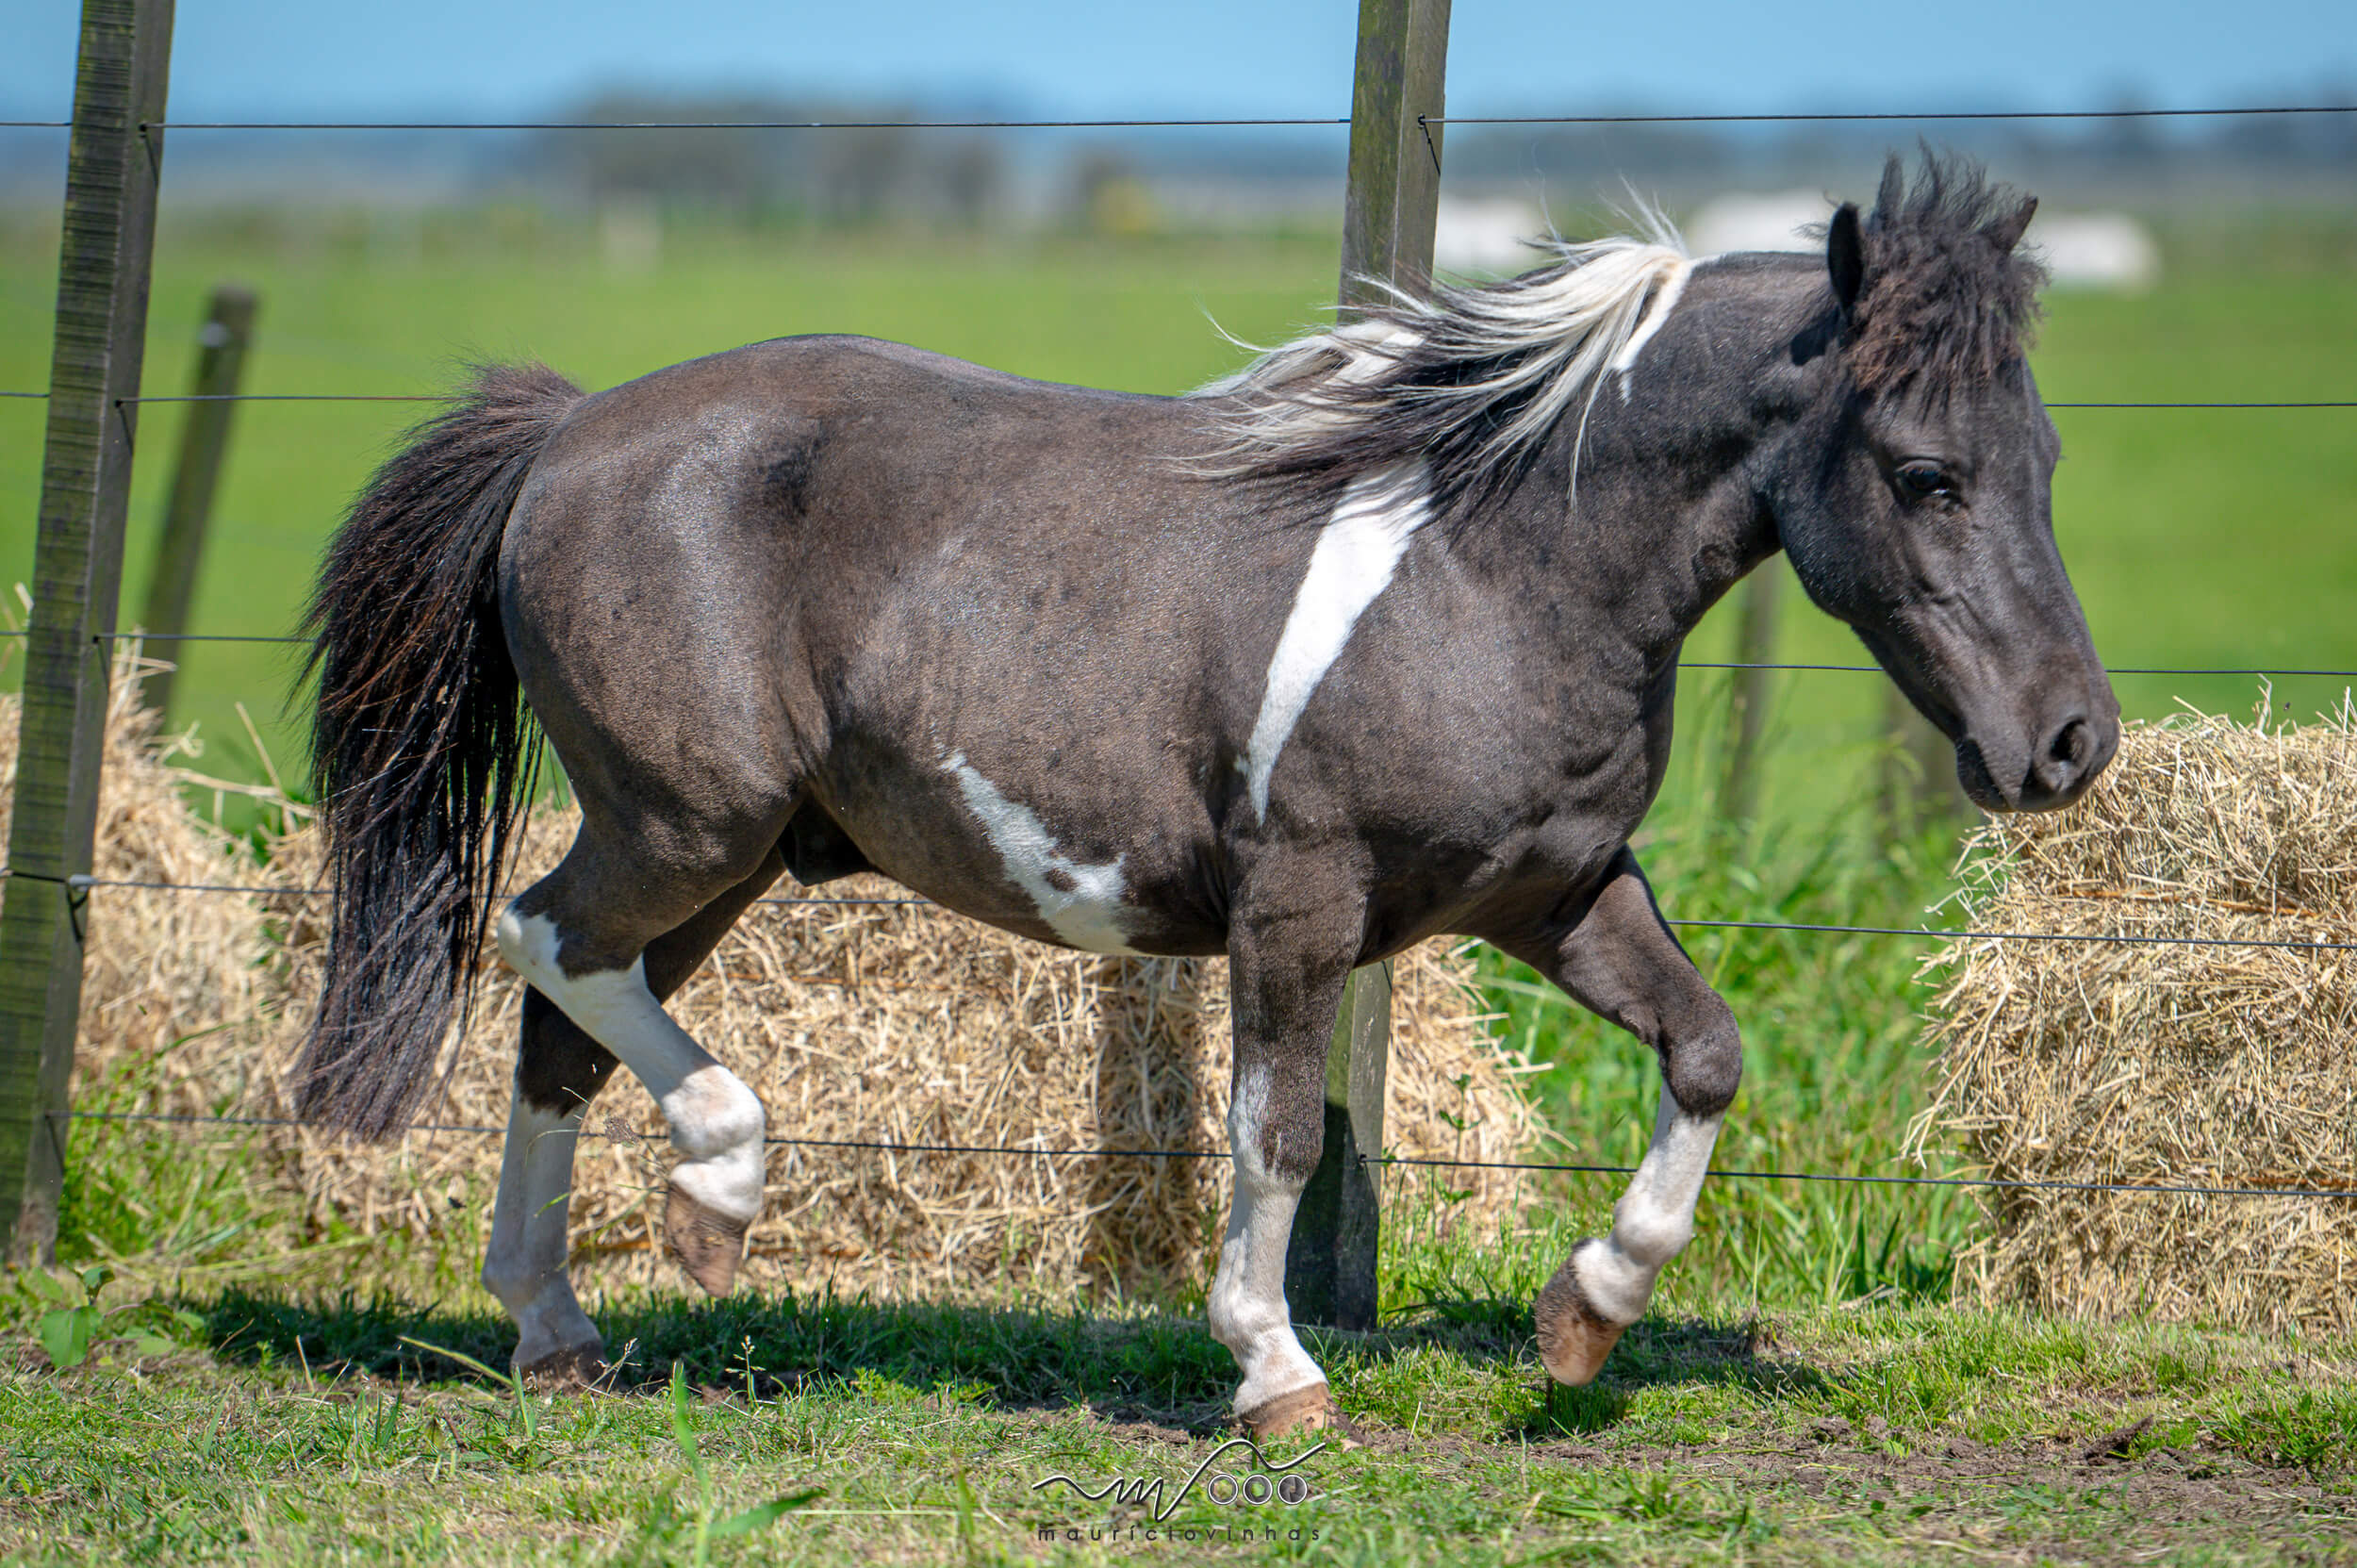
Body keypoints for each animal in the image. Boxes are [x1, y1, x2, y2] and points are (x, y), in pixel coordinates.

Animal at [296, 152, 2116, 1438]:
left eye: (2044, 459)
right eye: (1924, 476)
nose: (2068, 744)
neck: (1490, 566)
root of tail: (568, 429)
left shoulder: (1555, 892)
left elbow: (1709, 1050)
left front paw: (1585, 1313)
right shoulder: (1299, 895)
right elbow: (1276, 1131)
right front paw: (1278, 1376)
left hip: (719, 853)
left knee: (563, 1022)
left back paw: (561, 1328)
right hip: (688, 824)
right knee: (546, 942)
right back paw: (717, 1193)